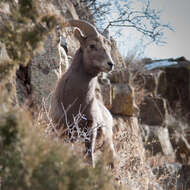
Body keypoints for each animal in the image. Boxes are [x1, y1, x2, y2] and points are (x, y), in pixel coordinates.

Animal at [49, 19, 116, 168]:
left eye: (109, 48)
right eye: (92, 45)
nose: (110, 64)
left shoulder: (90, 132)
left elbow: (89, 160)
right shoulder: (60, 129)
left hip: (108, 146)